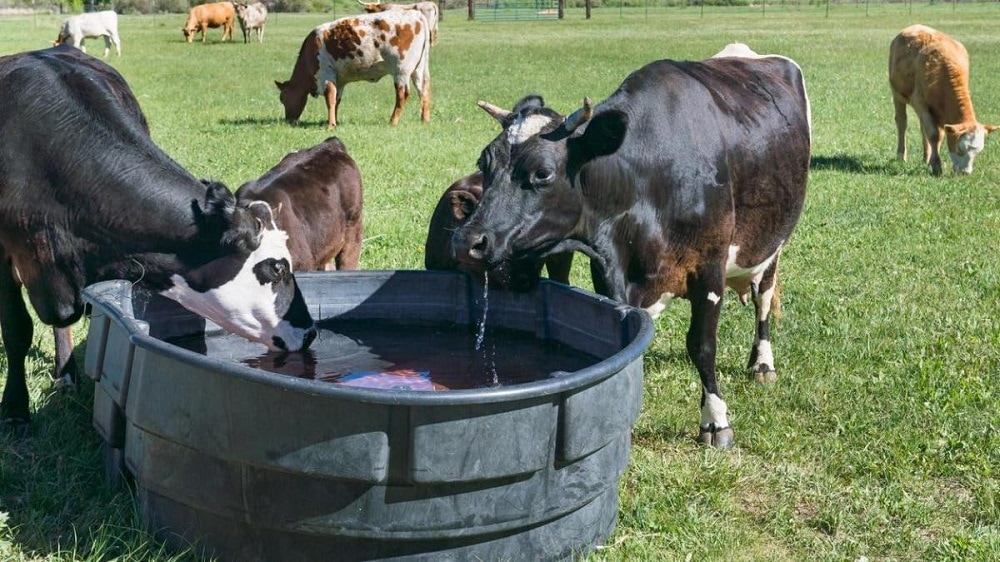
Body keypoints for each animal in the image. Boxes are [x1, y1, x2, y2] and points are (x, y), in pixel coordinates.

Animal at [275, 9, 431, 129]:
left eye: (283, 98)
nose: (288, 120)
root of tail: (415, 13)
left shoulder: (326, 75)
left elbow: (330, 99)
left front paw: (330, 125)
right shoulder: (339, 80)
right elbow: (336, 100)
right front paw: (334, 121)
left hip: (401, 70)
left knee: (402, 95)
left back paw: (393, 121)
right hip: (418, 69)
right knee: (423, 90)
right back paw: (425, 120)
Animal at [452, 45, 811, 449]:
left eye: (542, 172)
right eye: (484, 162)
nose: (468, 241)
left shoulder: (709, 267)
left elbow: (702, 345)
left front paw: (715, 420)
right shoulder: (609, 268)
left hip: (772, 244)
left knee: (764, 299)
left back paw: (762, 363)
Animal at [889, 24, 997, 175]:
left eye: (978, 152)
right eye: (960, 148)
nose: (965, 173)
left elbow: (937, 135)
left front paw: (931, 161)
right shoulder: (921, 104)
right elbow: (934, 135)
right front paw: (936, 165)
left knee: (922, 128)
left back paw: (926, 157)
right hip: (897, 94)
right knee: (901, 123)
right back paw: (901, 156)